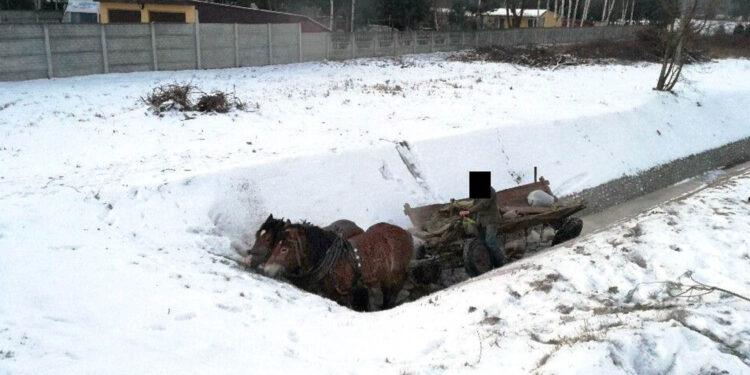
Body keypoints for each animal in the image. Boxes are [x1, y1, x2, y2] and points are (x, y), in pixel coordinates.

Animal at [264, 222, 414, 310]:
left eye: (284, 249)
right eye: (275, 245)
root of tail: (406, 233)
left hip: (394, 279)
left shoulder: (344, 294)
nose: (266, 270)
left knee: (391, 296)